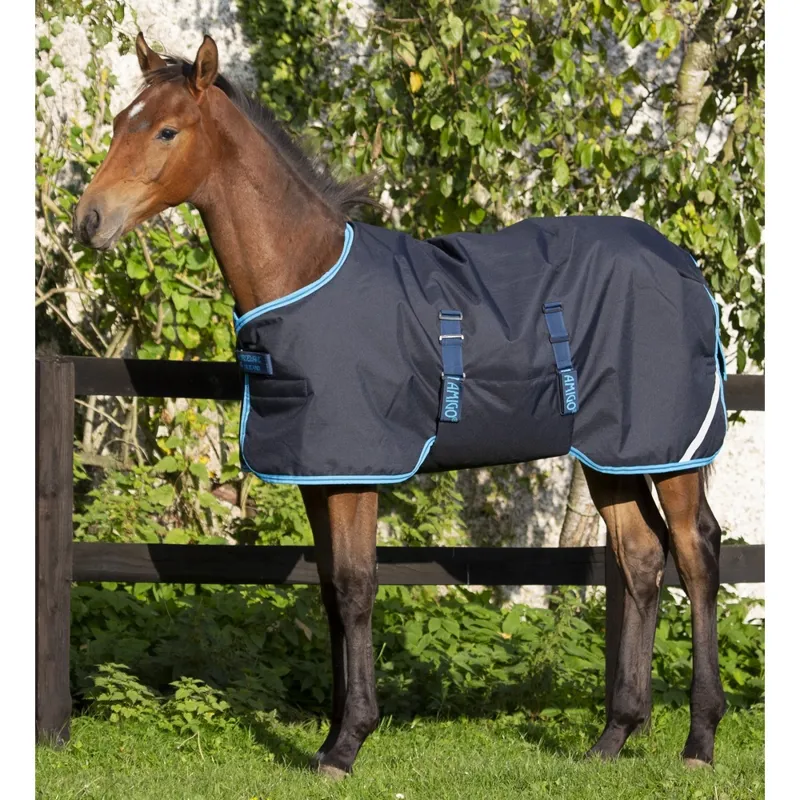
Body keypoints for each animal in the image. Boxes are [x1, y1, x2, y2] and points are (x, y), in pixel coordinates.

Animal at [72, 33, 728, 778]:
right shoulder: (319, 476)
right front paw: (330, 736)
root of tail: (685, 265)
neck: (305, 273)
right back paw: (613, 737)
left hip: (670, 450)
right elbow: (329, 592)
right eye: (119, 121)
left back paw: (699, 740)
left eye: (166, 130)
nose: (89, 220)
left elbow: (357, 588)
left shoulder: (359, 474)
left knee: (696, 554)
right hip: (611, 455)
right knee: (641, 558)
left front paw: (349, 743)